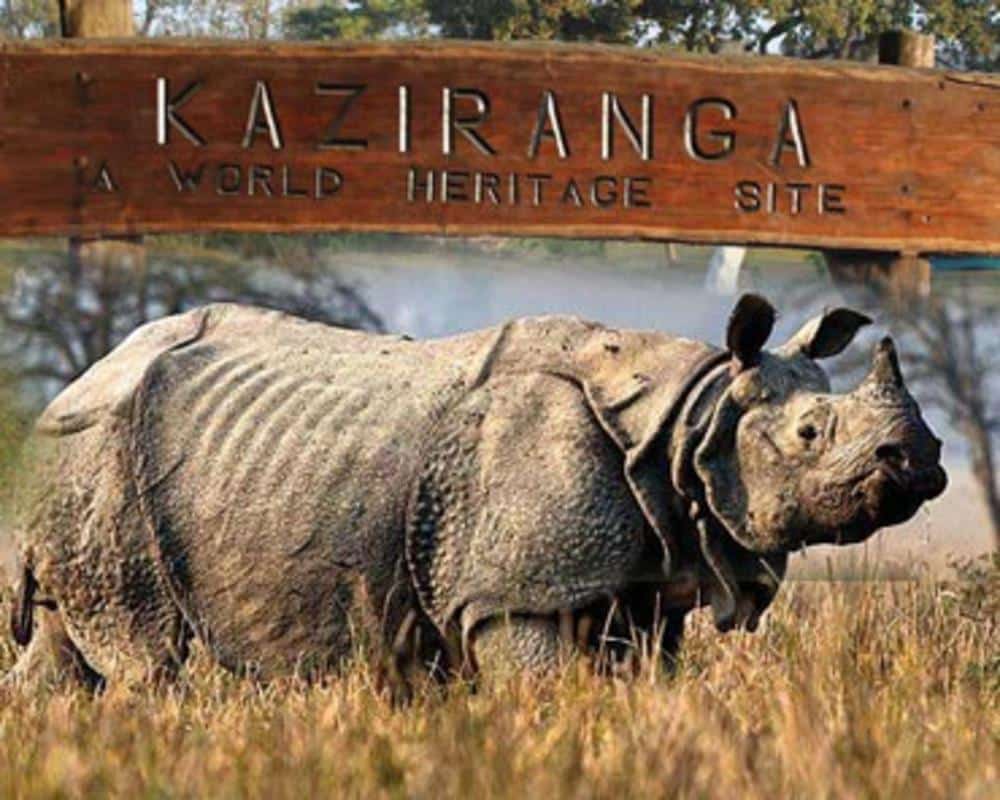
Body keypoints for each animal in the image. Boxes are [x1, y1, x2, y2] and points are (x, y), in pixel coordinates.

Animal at [4, 294, 947, 689]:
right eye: (810, 434)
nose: (923, 460)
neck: (691, 418)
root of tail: (74, 383)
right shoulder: (510, 592)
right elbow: (542, 689)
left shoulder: (643, 587)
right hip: (96, 458)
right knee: (143, 660)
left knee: (65, 656)